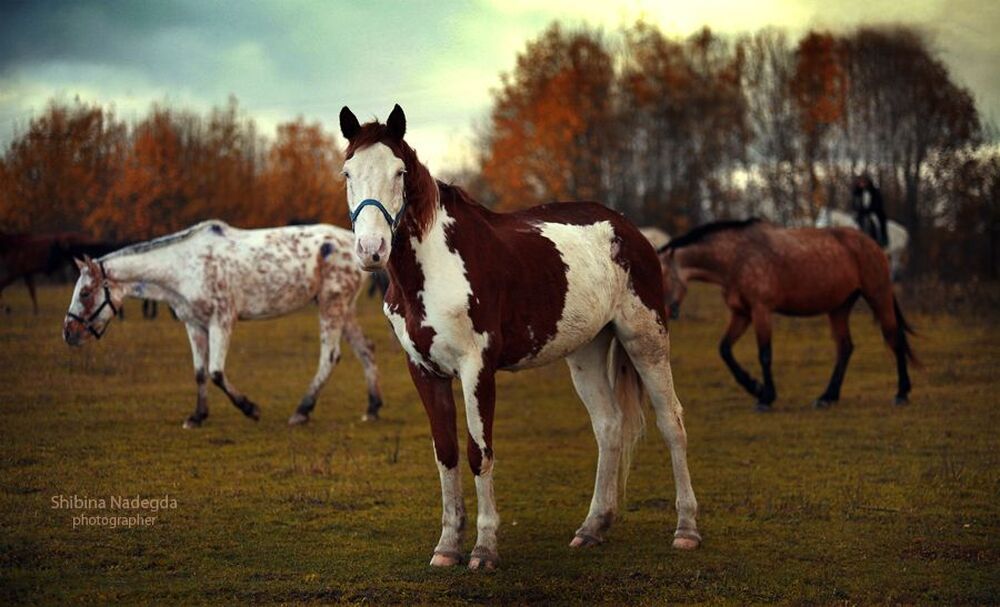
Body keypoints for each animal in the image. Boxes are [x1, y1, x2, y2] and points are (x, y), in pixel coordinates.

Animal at [62, 220, 384, 428]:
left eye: (85, 292)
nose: (69, 333)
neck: (184, 266)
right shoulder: (194, 324)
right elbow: (200, 373)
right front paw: (197, 416)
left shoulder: (222, 320)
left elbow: (216, 372)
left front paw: (250, 409)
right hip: (344, 308)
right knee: (366, 350)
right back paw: (372, 408)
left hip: (332, 305)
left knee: (330, 356)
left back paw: (302, 411)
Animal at [338, 104, 699, 570]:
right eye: (348, 172)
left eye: (399, 172)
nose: (371, 250)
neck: (434, 267)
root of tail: (629, 230)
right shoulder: (424, 370)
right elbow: (447, 453)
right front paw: (447, 547)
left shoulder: (477, 369)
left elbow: (479, 452)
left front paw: (484, 549)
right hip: (586, 352)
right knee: (608, 426)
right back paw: (592, 527)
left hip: (645, 340)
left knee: (672, 422)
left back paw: (686, 530)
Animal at [658, 218, 915, 412]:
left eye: (659, 276)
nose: (662, 316)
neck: (737, 257)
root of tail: (875, 245)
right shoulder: (741, 314)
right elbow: (725, 350)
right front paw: (756, 387)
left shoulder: (761, 310)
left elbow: (764, 354)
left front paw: (765, 397)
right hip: (839, 308)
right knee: (845, 347)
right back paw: (827, 397)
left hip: (878, 296)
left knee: (894, 338)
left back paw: (901, 393)